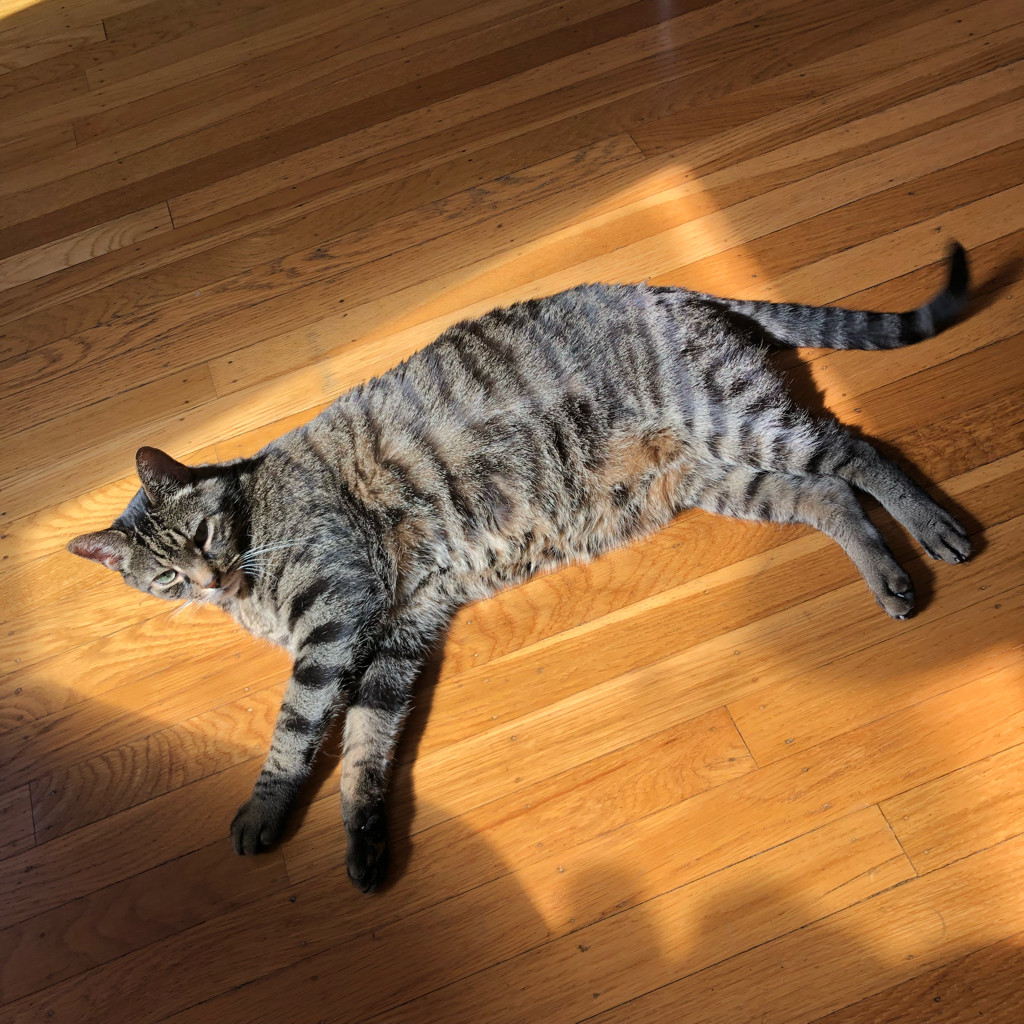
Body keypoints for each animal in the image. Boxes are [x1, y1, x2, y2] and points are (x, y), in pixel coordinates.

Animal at [70, 243, 966, 892]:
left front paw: (264, 809)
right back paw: (887, 576)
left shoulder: (339, 618)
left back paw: (935, 531)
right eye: (164, 577)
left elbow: (297, 728)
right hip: (721, 472)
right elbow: (366, 745)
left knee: (859, 451)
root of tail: (670, 290)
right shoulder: (396, 634)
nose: (206, 583)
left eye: (203, 535)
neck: (254, 563)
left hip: (740, 422)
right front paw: (364, 840)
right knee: (829, 494)